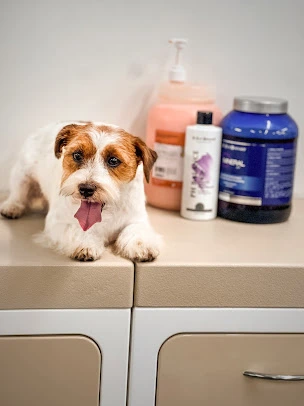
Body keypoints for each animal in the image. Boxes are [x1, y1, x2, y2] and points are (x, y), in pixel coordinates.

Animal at [0, 120, 162, 262]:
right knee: (18, 193)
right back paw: (12, 206)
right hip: (22, 175)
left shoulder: (137, 218)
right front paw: (86, 243)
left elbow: (135, 229)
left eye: (113, 160)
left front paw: (141, 245)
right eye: (77, 155)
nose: (86, 189)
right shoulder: (58, 222)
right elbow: (76, 229)